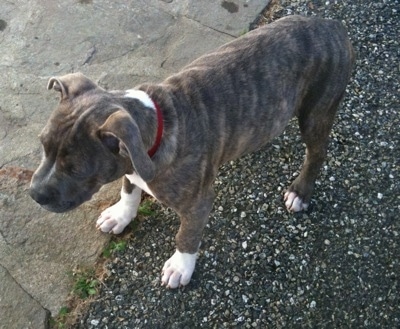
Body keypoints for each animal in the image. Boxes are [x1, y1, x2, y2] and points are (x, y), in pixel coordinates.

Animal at [28, 15, 354, 288]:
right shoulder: (130, 165)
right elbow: (129, 188)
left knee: (316, 152)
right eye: (42, 146)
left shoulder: (198, 202)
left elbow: (186, 234)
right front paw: (121, 215)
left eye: (75, 169)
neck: (156, 124)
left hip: (317, 111)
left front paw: (180, 266)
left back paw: (300, 192)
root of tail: (332, 26)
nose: (35, 194)